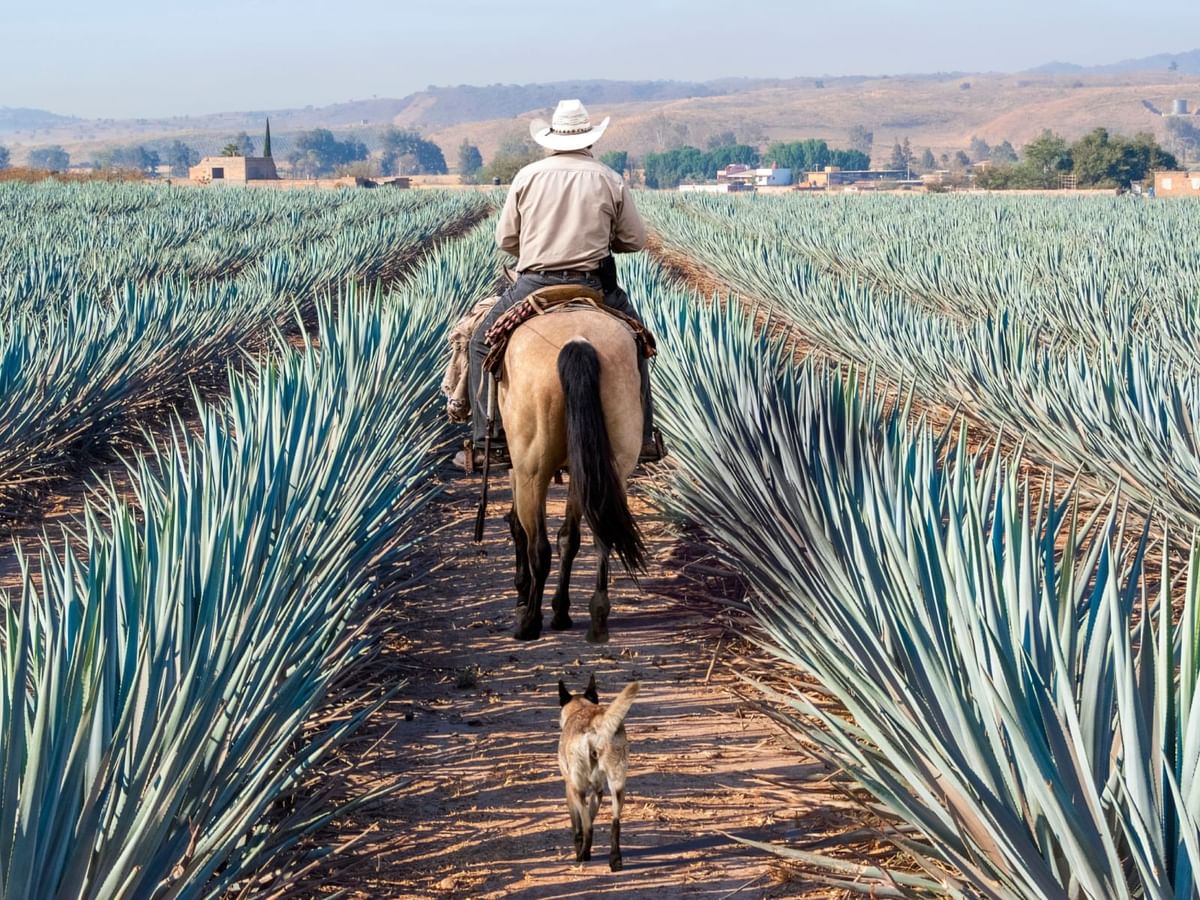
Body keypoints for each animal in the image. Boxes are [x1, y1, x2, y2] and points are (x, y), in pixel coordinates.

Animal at [498, 306, 646, 642]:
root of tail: (578, 341)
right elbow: (570, 538)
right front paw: (561, 611)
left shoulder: (517, 467)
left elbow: (518, 527)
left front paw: (522, 593)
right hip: (606, 464)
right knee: (600, 534)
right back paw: (597, 617)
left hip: (532, 469)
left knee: (539, 546)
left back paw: (529, 623)